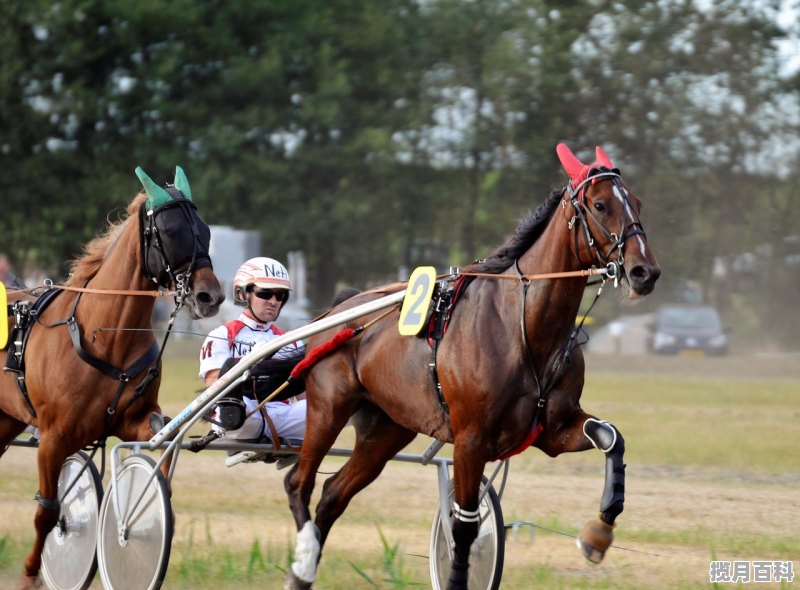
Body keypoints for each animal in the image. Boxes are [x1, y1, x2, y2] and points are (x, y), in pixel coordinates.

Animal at [0, 165, 223, 588]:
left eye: (204, 231)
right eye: (171, 231)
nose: (210, 297)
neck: (104, 335)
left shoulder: (135, 419)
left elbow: (157, 458)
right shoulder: (53, 437)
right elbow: (48, 512)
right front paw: (31, 573)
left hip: (4, 420)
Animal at [284, 145, 660, 590]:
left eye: (637, 202)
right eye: (601, 205)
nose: (645, 271)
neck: (524, 326)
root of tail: (339, 311)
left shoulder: (553, 431)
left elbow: (610, 437)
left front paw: (599, 532)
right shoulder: (470, 440)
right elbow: (463, 527)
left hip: (387, 430)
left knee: (332, 495)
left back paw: (304, 572)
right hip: (329, 407)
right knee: (299, 483)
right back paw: (303, 558)